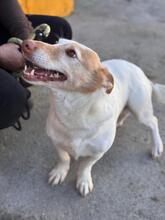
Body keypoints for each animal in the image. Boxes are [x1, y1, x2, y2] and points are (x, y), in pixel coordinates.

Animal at [21, 38, 164, 197]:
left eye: (71, 53)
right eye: (56, 42)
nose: (25, 43)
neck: (74, 110)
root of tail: (140, 71)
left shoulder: (98, 152)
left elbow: (85, 166)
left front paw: (83, 181)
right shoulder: (56, 142)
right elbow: (64, 158)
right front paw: (60, 172)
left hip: (140, 110)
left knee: (154, 122)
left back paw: (157, 146)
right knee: (126, 112)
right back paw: (119, 121)